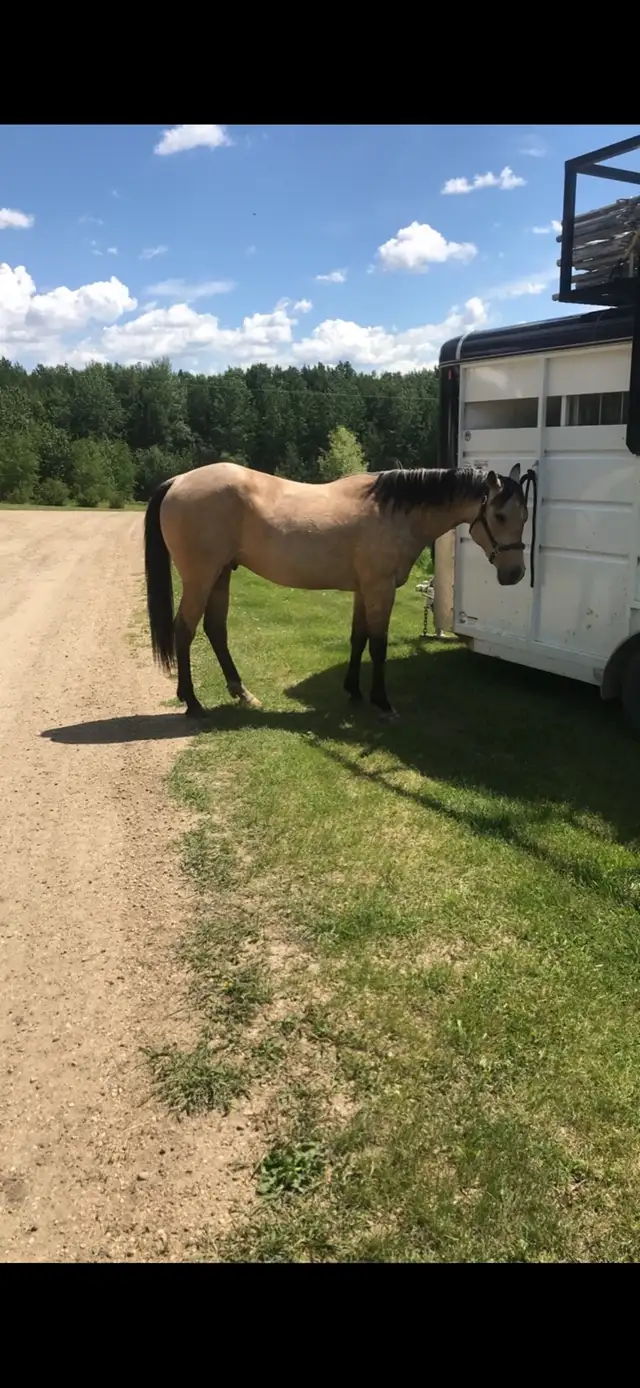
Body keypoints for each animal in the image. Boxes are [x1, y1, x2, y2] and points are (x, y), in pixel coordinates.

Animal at [144, 461, 529, 719]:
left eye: (525, 516)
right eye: (500, 516)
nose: (515, 574)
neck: (394, 512)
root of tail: (178, 480)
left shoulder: (364, 589)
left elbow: (358, 638)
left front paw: (354, 691)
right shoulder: (380, 588)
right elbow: (378, 644)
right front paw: (381, 702)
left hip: (221, 574)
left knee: (215, 630)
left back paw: (242, 694)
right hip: (201, 577)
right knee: (185, 630)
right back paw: (192, 702)